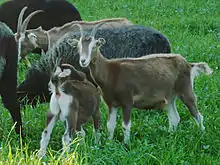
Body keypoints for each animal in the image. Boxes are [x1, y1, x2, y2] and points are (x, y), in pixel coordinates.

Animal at [69, 22, 213, 143]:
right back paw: (171, 137)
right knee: (174, 118)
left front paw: (126, 145)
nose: (83, 61)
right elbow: (110, 125)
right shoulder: (111, 104)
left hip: (185, 90)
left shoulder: (127, 101)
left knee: (197, 115)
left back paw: (202, 135)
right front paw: (109, 143)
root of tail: (188, 64)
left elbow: (125, 126)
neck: (110, 71)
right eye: (78, 46)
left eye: (94, 46)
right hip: (170, 97)